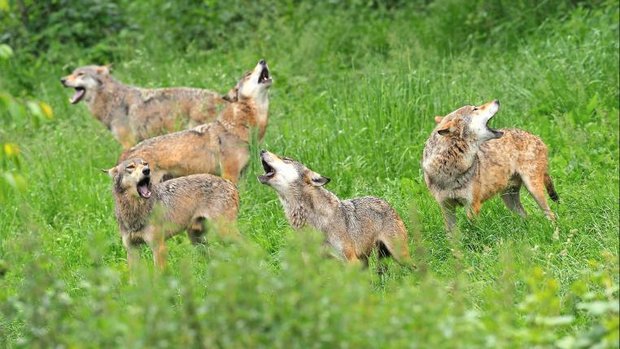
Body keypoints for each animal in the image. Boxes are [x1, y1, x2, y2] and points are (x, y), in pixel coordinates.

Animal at [60, 64, 224, 147]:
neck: (112, 98)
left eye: (80, 74)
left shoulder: (128, 142)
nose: (62, 80)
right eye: (72, 73)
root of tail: (219, 98)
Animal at [106, 156, 237, 268]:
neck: (134, 210)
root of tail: (228, 182)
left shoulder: (159, 247)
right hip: (197, 239)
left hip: (224, 233)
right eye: (131, 167)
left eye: (145, 164)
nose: (147, 170)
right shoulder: (132, 249)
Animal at [422, 99, 556, 230]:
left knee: (551, 215)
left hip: (533, 189)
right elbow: (452, 235)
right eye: (475, 109)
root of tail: (536, 137)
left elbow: (474, 232)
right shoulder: (446, 208)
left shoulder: (473, 206)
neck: (448, 166)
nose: (497, 100)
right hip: (509, 198)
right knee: (527, 216)